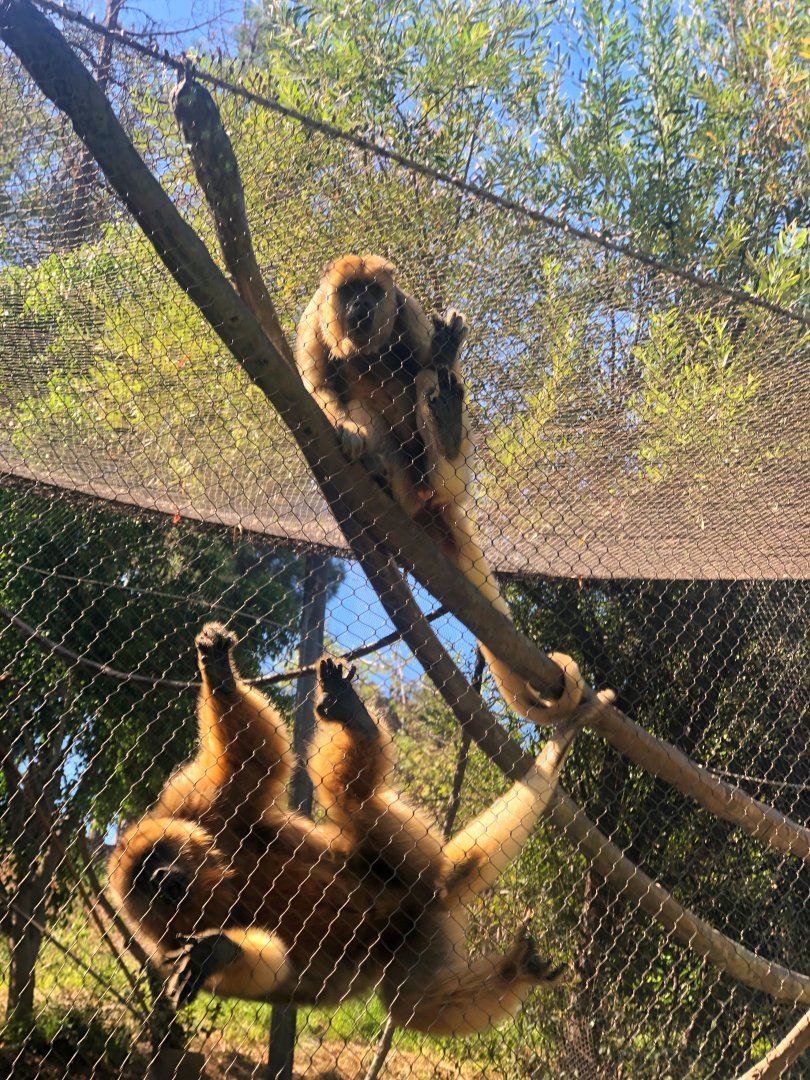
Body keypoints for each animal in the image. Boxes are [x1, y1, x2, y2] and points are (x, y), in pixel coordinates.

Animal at [107, 623, 590, 1035]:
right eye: (146, 884)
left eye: (156, 862)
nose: (163, 879)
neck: (216, 882)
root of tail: (426, 894)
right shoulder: (161, 945)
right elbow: (269, 968)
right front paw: (217, 951)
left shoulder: (197, 805)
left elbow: (255, 763)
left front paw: (218, 673)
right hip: (412, 936)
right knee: (411, 1003)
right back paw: (514, 971)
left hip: (407, 857)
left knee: (351, 799)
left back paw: (350, 713)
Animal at [296, 254, 586, 726]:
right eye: (349, 291)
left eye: (372, 292)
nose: (361, 305)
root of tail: (422, 499)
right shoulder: (311, 321)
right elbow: (320, 389)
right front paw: (347, 429)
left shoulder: (408, 311)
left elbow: (429, 364)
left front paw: (446, 350)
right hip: (404, 476)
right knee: (362, 411)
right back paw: (376, 470)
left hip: (437, 475)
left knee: (432, 385)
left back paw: (447, 430)